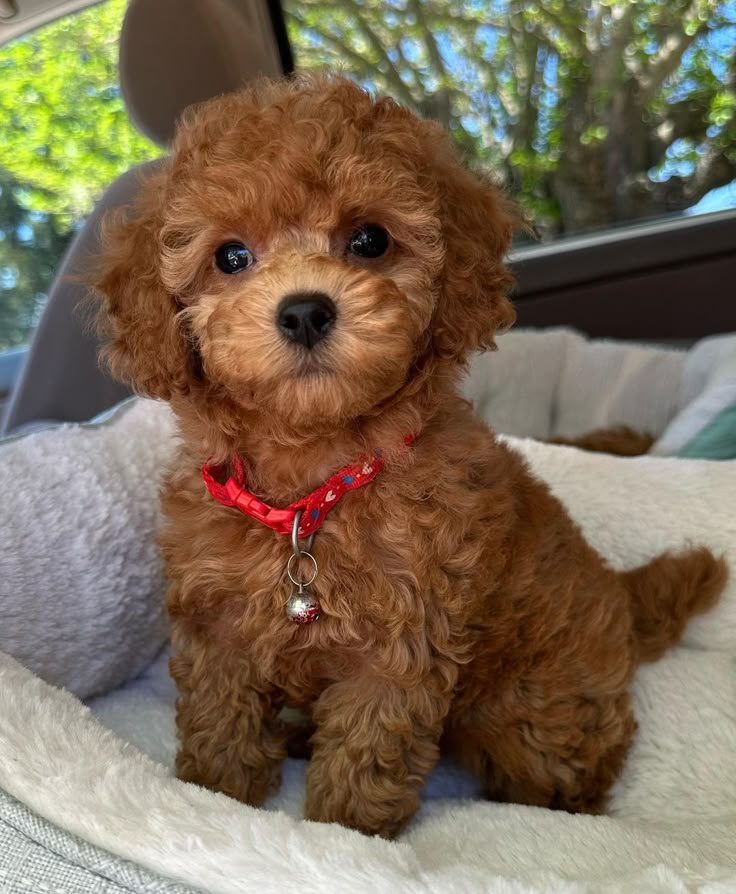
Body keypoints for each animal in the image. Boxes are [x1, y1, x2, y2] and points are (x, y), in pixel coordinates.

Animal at [95, 75, 728, 840]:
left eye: (370, 240)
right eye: (231, 256)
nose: (304, 311)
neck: (314, 484)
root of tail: (622, 597)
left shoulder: (398, 647)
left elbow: (366, 755)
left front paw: (344, 835)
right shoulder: (219, 627)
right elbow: (221, 723)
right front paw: (217, 796)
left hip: (531, 712)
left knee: (569, 772)